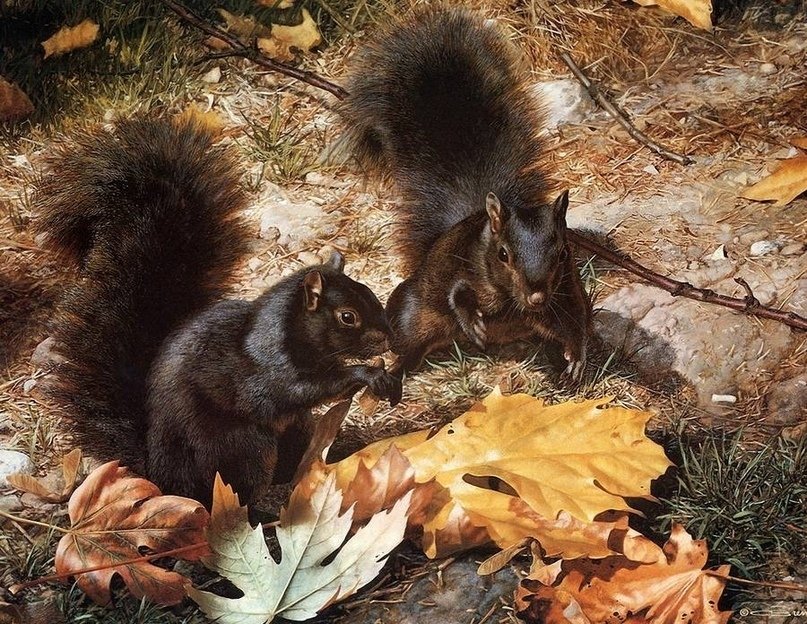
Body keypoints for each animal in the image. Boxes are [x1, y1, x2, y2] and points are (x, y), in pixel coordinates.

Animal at [36, 117, 401, 507]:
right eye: (348, 316)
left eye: (370, 293)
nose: (388, 340)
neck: (288, 331)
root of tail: (161, 475)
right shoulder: (266, 374)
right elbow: (302, 389)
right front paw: (367, 373)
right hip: (240, 448)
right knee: (235, 490)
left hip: (292, 430)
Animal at [340, 7, 592, 381]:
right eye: (503, 255)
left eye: (562, 253)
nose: (535, 297)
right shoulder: (460, 268)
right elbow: (457, 294)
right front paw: (472, 321)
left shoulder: (566, 292)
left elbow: (575, 322)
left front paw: (576, 356)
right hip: (410, 316)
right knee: (408, 347)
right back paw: (394, 372)